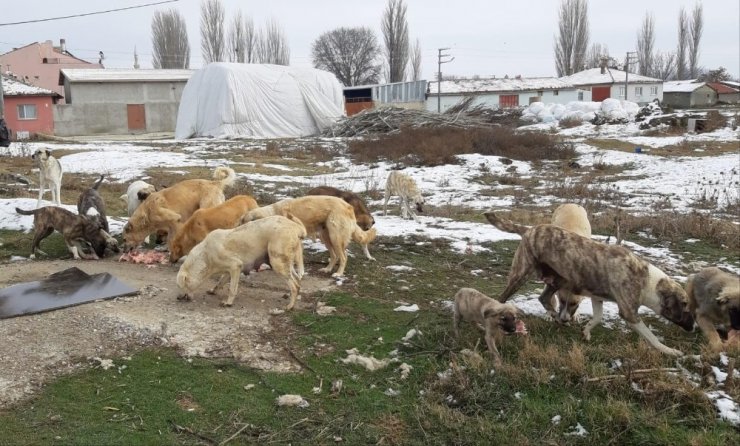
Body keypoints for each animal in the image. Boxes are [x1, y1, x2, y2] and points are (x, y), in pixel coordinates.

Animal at [176, 215, 306, 310]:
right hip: (286, 264)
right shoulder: (228, 271)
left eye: (180, 286)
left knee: (294, 286)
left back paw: (289, 306)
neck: (205, 255)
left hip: (277, 263)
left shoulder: (235, 266)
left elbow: (232, 289)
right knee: (297, 281)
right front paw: (213, 291)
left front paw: (228, 303)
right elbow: (219, 283)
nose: (178, 298)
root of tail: (294, 226)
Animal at [244, 196, 376, 278]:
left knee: (344, 256)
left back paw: (338, 274)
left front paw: (299, 273)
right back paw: (327, 269)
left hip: (335, 237)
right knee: (334, 256)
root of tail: (349, 206)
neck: (273, 215)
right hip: (326, 237)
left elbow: (297, 261)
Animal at [486, 211, 692, 358]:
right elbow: (652, 337)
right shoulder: (629, 314)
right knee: (502, 298)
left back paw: (556, 317)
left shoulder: (596, 297)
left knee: (544, 298)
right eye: (685, 308)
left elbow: (598, 318)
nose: (693, 329)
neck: (647, 280)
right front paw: (670, 351)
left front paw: (586, 332)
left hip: (558, 279)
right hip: (521, 274)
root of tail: (530, 229)